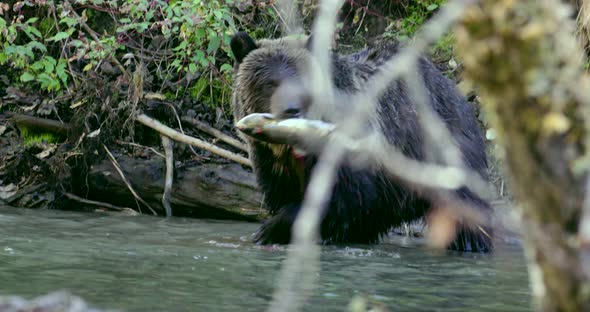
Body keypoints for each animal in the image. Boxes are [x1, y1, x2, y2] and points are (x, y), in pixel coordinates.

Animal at [230, 31, 494, 252]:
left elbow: (341, 199)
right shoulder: (272, 164)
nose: (291, 110)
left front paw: (269, 229)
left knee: (465, 209)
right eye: (269, 82)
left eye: (301, 79)